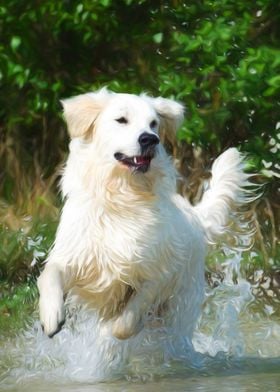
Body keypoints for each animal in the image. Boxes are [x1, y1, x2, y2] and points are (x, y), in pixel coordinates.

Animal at [37, 88, 249, 340]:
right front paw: (51, 316)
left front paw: (115, 328)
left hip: (181, 307)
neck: (123, 197)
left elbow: (127, 320)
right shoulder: (75, 254)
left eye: (153, 123)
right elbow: (49, 274)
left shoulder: (158, 272)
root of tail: (195, 216)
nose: (150, 139)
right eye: (121, 120)